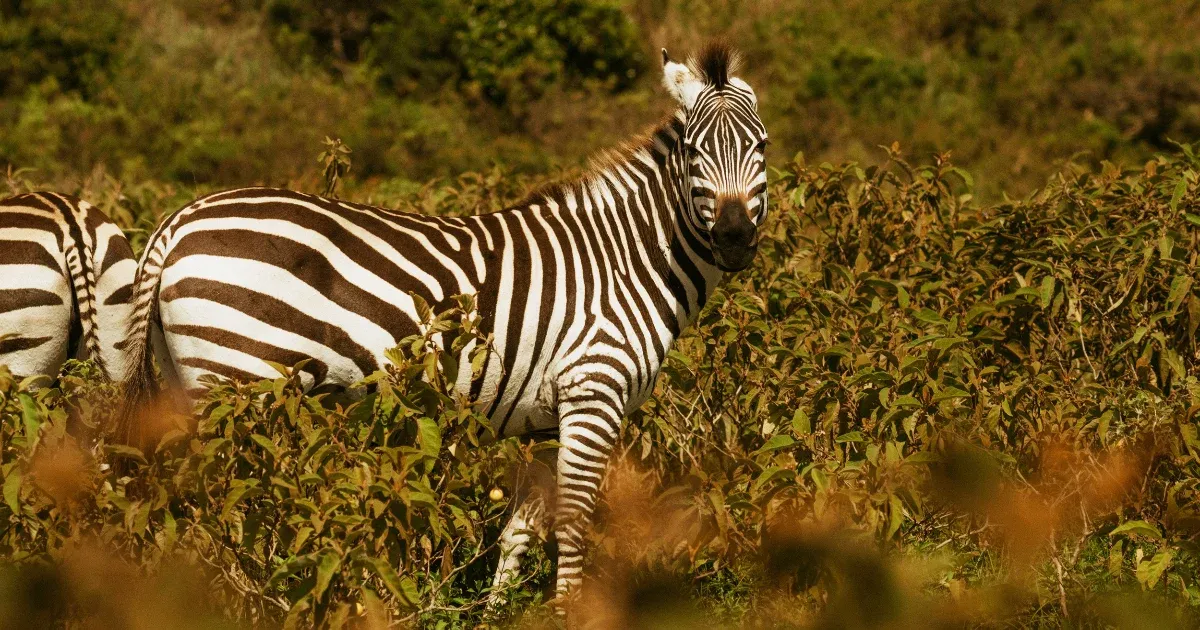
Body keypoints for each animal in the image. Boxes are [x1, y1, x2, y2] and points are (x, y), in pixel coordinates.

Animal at [117, 42, 763, 609]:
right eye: (696, 153)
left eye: (761, 146)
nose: (735, 239)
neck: (625, 259)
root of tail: (181, 218)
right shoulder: (592, 392)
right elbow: (574, 520)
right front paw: (569, 612)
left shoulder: (544, 418)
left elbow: (522, 527)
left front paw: (495, 612)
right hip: (235, 383)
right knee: (220, 505)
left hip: (191, 380)